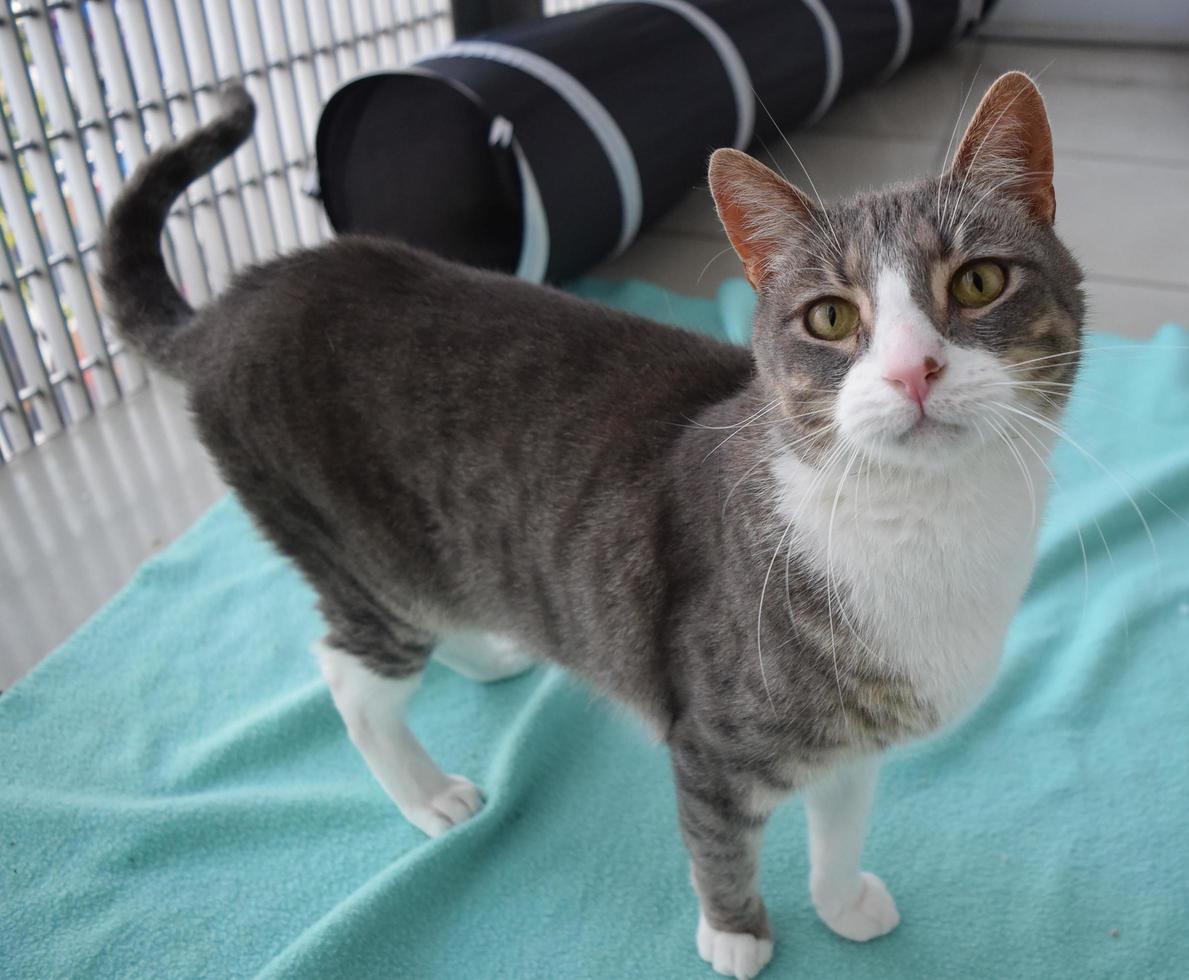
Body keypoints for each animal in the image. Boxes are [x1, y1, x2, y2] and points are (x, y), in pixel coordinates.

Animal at [99, 70, 1089, 980]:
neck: (925, 523)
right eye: (832, 317)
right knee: (347, 671)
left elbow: (840, 818)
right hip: (361, 558)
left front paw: (840, 899)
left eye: (978, 281)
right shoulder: (709, 739)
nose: (914, 371)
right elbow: (717, 843)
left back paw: (487, 651)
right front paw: (736, 935)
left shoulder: (852, 738)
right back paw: (426, 794)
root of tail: (236, 301)